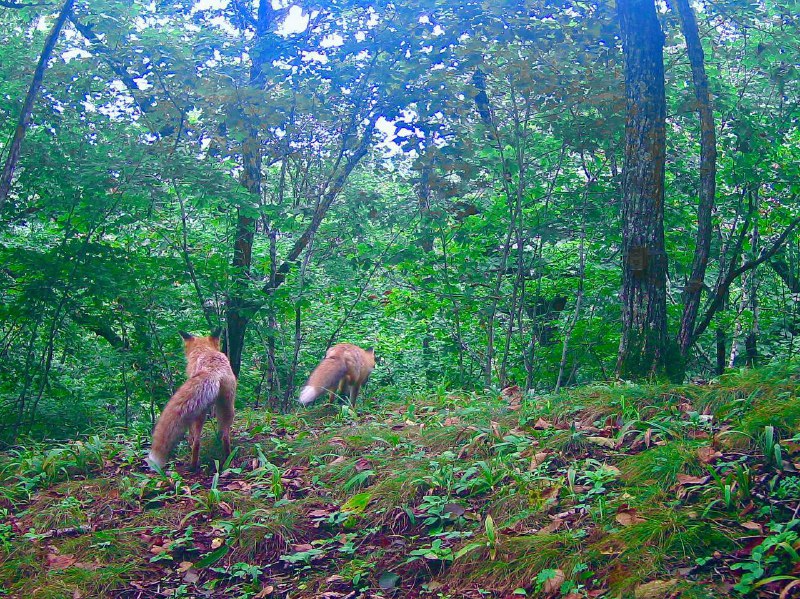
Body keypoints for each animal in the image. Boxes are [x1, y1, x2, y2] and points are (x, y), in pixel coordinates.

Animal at [147, 328, 236, 474]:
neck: (204, 350)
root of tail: (214, 370)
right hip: (227, 406)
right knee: (225, 437)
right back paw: (227, 460)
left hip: (201, 411)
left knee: (197, 442)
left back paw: (193, 466)